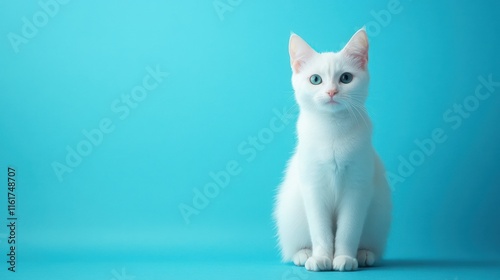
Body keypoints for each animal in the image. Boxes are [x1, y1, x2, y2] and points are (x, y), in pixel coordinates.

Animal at [274, 28, 390, 272]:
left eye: (345, 78)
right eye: (315, 80)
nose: (331, 92)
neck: (333, 130)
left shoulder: (357, 188)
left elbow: (348, 231)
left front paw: (344, 258)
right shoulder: (313, 188)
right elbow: (321, 231)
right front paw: (321, 258)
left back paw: (364, 254)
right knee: (295, 247)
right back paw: (304, 254)